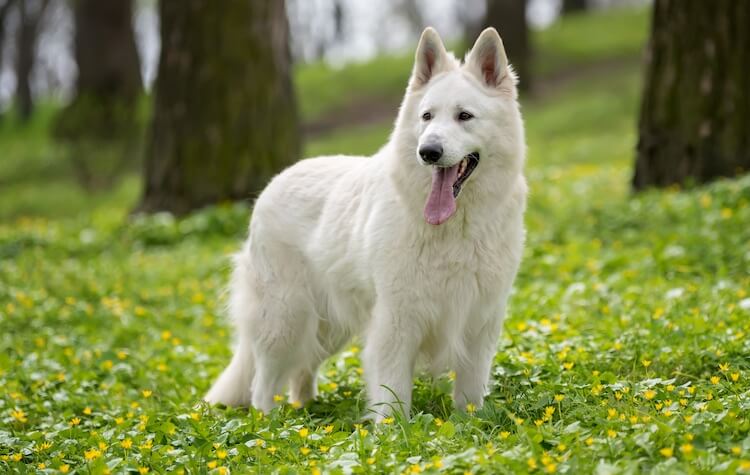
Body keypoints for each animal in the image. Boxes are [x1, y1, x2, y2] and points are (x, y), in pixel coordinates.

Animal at [207, 27, 528, 420]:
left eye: (464, 116)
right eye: (426, 116)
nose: (428, 152)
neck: (454, 227)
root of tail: (275, 182)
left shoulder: (479, 320)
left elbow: (470, 390)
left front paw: (471, 422)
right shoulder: (396, 322)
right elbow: (393, 394)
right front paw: (392, 432)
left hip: (328, 327)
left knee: (301, 371)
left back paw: (305, 411)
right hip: (286, 320)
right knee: (263, 383)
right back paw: (270, 423)